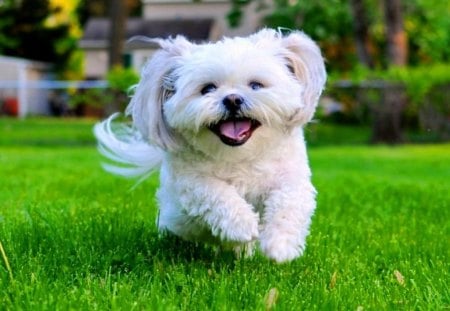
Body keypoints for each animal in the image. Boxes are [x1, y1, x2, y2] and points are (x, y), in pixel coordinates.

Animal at [96, 28, 326, 264]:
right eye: (207, 89)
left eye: (255, 85)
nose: (232, 99)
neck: (239, 156)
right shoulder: (191, 181)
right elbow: (216, 192)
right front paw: (243, 224)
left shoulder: (291, 177)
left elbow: (289, 203)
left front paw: (280, 245)